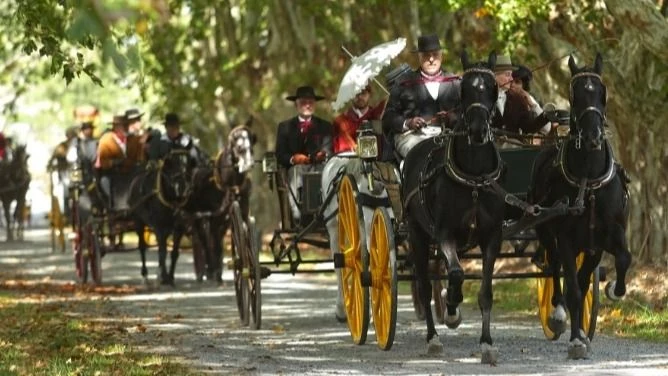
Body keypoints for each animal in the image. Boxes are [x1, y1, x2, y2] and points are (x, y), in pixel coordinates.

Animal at [129, 147, 198, 284]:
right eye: (169, 163)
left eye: (189, 163)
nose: (183, 188)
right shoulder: (159, 227)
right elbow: (163, 252)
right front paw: (164, 277)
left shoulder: (179, 228)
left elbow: (174, 252)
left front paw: (170, 277)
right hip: (138, 221)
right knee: (142, 247)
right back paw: (145, 274)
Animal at [189, 122, 258, 284]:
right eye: (239, 147)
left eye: (252, 146)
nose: (248, 165)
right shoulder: (213, 217)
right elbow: (213, 244)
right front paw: (214, 271)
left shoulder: (239, 211)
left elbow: (243, 232)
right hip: (199, 218)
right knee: (203, 241)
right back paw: (205, 271)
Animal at [400, 51, 504, 362]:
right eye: (464, 88)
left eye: (493, 88)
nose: (478, 130)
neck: (474, 178)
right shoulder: (443, 232)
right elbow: (456, 274)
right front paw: (453, 307)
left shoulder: (492, 236)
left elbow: (485, 292)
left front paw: (486, 343)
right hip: (416, 234)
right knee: (424, 286)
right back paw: (433, 336)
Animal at [528, 53, 632, 358]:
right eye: (575, 94)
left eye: (602, 92)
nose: (593, 136)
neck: (589, 179)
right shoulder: (565, 237)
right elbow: (573, 289)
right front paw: (575, 338)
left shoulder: (605, 238)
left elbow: (621, 260)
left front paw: (614, 289)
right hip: (546, 232)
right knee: (553, 267)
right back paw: (558, 312)